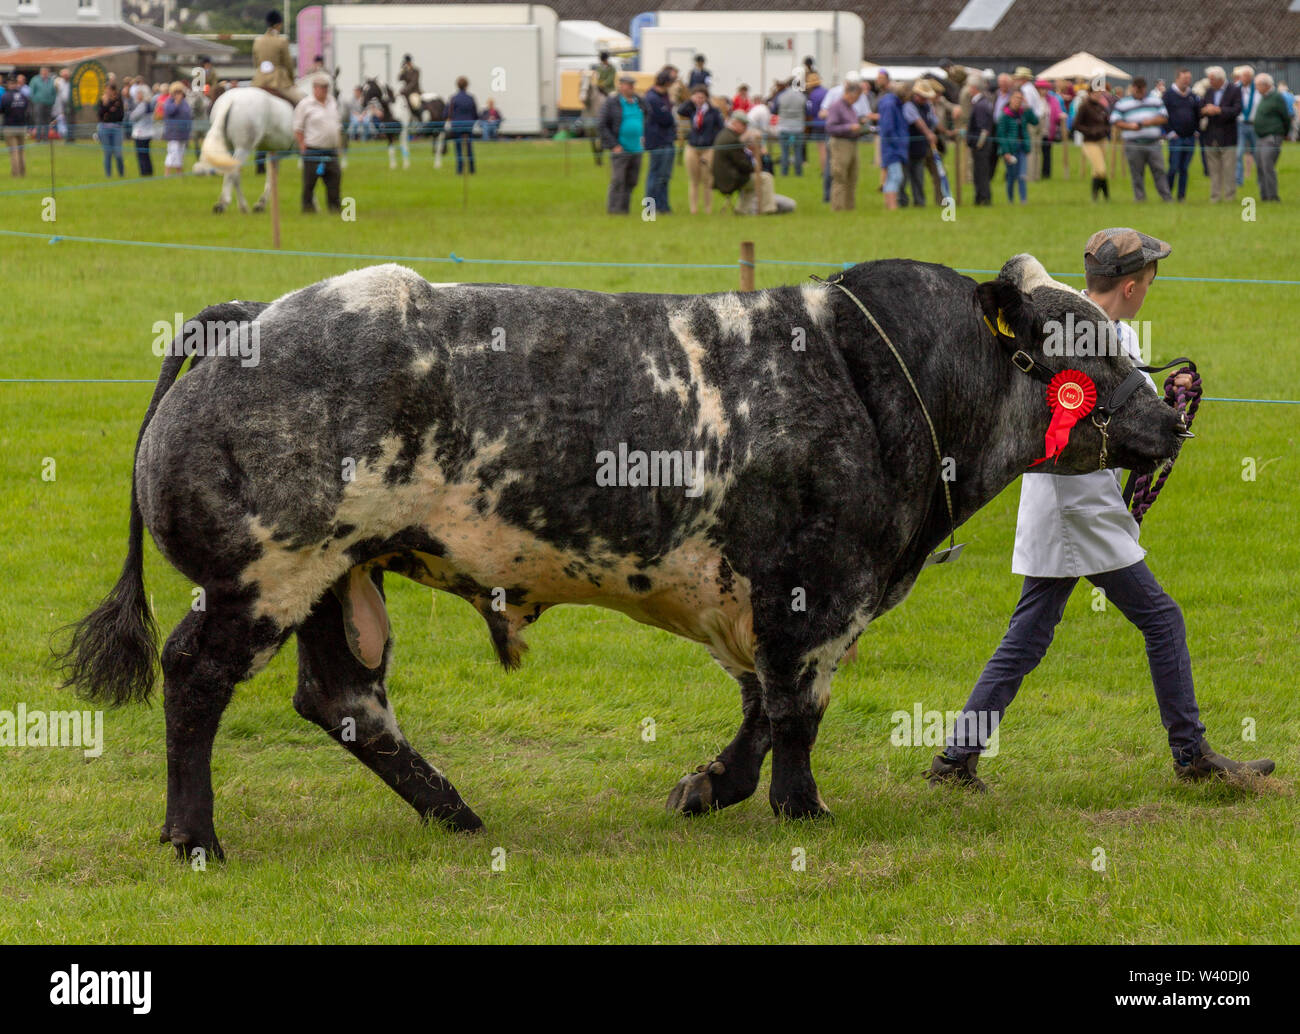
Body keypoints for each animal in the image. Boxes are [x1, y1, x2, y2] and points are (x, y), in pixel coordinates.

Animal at [58, 254, 1190, 863]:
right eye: (1086, 345)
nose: (1171, 414)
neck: (879, 382)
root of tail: (247, 318)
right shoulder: (814, 591)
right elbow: (794, 708)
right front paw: (793, 805)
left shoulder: (765, 600)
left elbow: (764, 705)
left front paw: (715, 786)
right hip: (265, 575)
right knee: (196, 677)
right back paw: (196, 836)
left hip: (343, 579)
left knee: (345, 700)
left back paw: (453, 810)